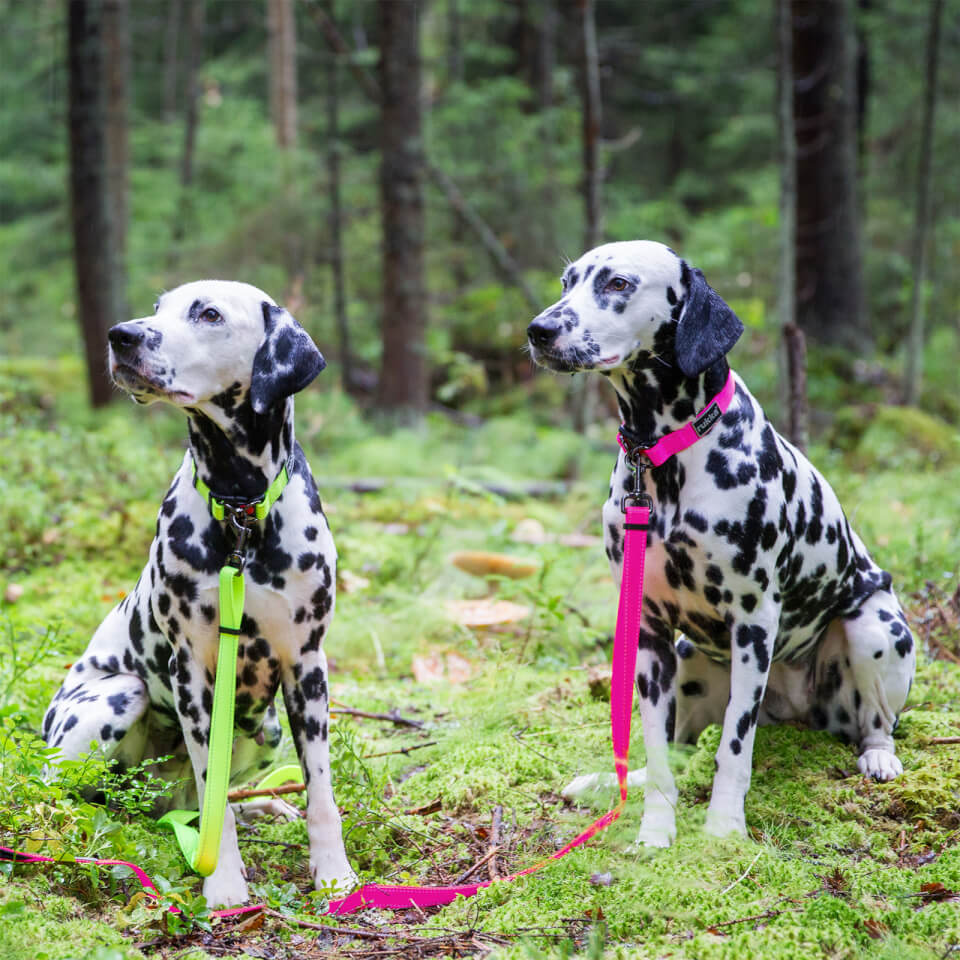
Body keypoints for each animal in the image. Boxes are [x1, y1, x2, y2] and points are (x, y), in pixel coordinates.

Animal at [42, 280, 356, 908]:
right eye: (157, 309)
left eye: (209, 314)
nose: (121, 335)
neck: (241, 510)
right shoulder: (192, 673)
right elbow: (216, 811)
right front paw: (225, 885)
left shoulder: (307, 668)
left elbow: (321, 794)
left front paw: (335, 876)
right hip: (117, 696)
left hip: (266, 729)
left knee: (195, 804)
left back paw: (263, 805)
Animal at [528, 240, 912, 848]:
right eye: (567, 282)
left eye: (617, 283)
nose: (539, 330)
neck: (663, 458)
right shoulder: (650, 634)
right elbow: (659, 752)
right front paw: (655, 833)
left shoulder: (753, 623)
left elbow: (734, 747)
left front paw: (725, 827)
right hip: (687, 660)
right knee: (677, 748)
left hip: (873, 630)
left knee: (877, 723)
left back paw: (878, 757)